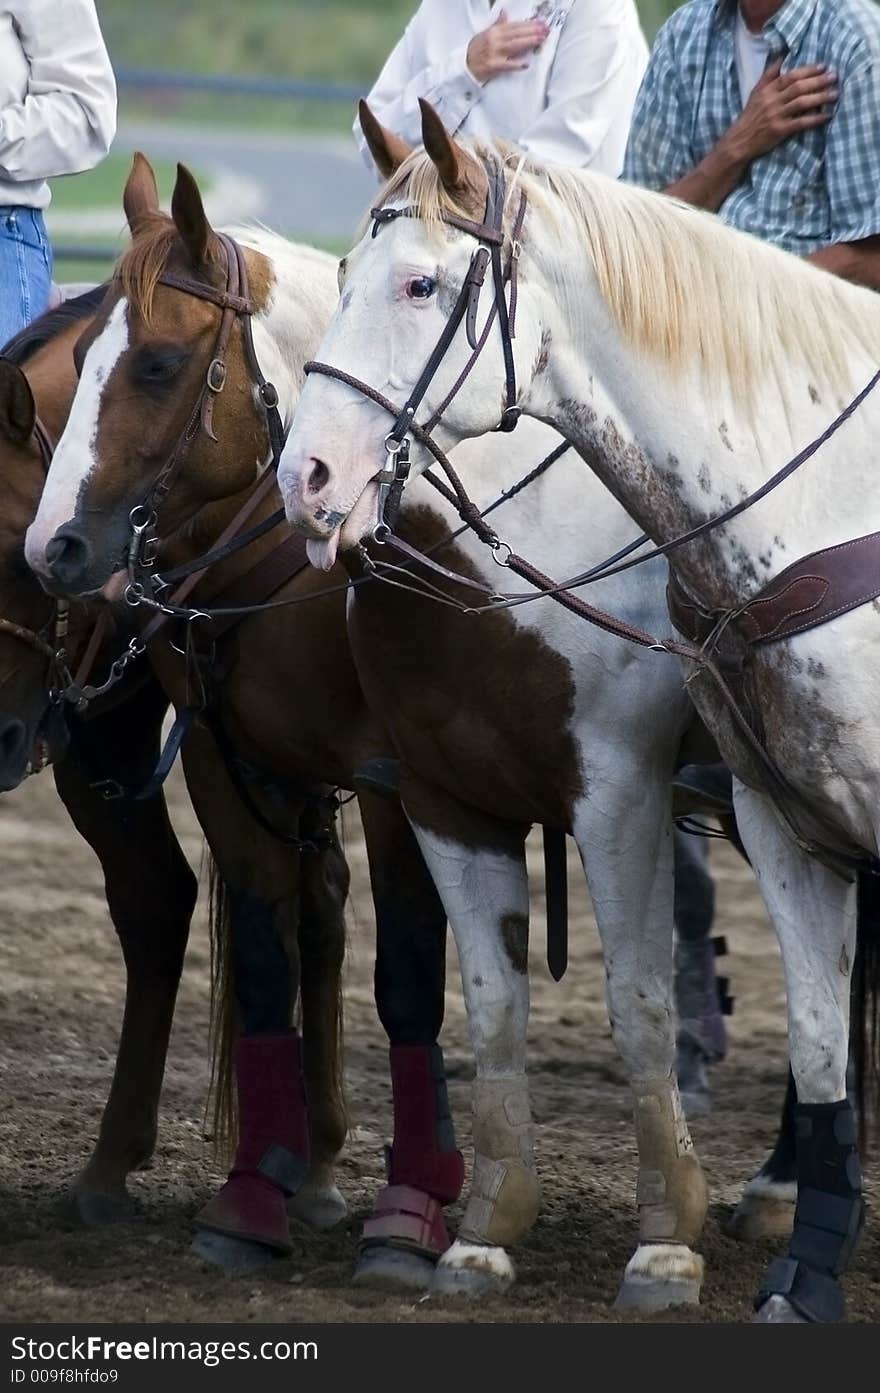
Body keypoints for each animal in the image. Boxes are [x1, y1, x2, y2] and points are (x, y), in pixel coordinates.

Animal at [278, 103, 874, 1320]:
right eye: (344, 272)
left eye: (419, 283)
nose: (304, 477)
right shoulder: (450, 801)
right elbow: (495, 1001)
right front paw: (481, 1232)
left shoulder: (620, 790)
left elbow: (641, 1003)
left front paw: (664, 1242)